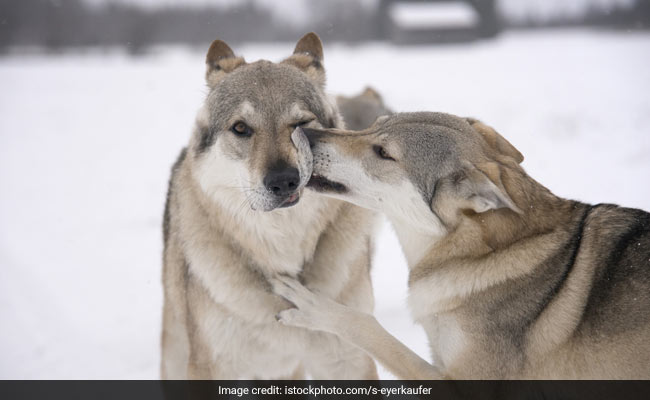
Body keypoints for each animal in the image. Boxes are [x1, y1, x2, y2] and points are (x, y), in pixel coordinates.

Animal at [159, 32, 378, 380]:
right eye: (240, 128)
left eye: (300, 124)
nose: (284, 181)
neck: (282, 254)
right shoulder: (211, 366)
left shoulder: (348, 357)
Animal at [270, 112, 648, 378]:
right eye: (372, 126)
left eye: (383, 152)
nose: (303, 132)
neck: (480, 255)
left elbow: (367, 327)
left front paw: (314, 307)